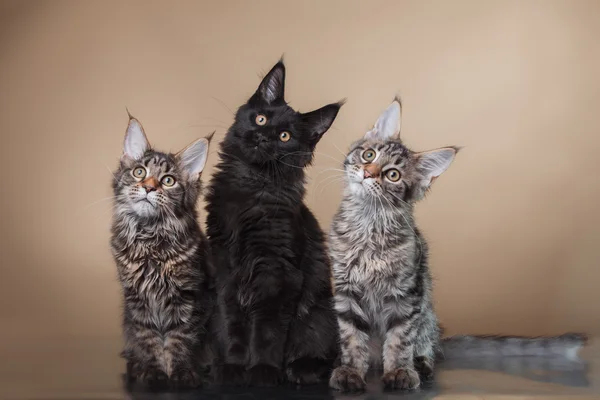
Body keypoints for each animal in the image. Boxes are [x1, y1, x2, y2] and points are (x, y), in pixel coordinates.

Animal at [110, 114, 216, 390]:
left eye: (168, 180)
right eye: (139, 172)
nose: (148, 188)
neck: (149, 239)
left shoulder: (188, 296)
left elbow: (180, 339)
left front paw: (181, 373)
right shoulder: (137, 300)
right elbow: (148, 340)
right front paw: (153, 372)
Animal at [206, 61, 342, 386]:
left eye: (284, 137)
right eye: (260, 118)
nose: (263, 137)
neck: (249, 185)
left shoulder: (276, 271)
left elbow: (267, 330)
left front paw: (263, 371)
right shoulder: (226, 269)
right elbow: (233, 325)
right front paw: (233, 366)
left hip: (320, 314)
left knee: (327, 354)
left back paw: (301, 368)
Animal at [328, 98, 584, 392]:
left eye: (392, 175)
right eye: (369, 155)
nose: (367, 173)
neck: (367, 223)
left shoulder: (407, 293)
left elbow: (399, 340)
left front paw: (400, 371)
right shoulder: (346, 289)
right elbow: (352, 339)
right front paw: (349, 371)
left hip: (427, 317)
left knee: (425, 346)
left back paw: (421, 366)